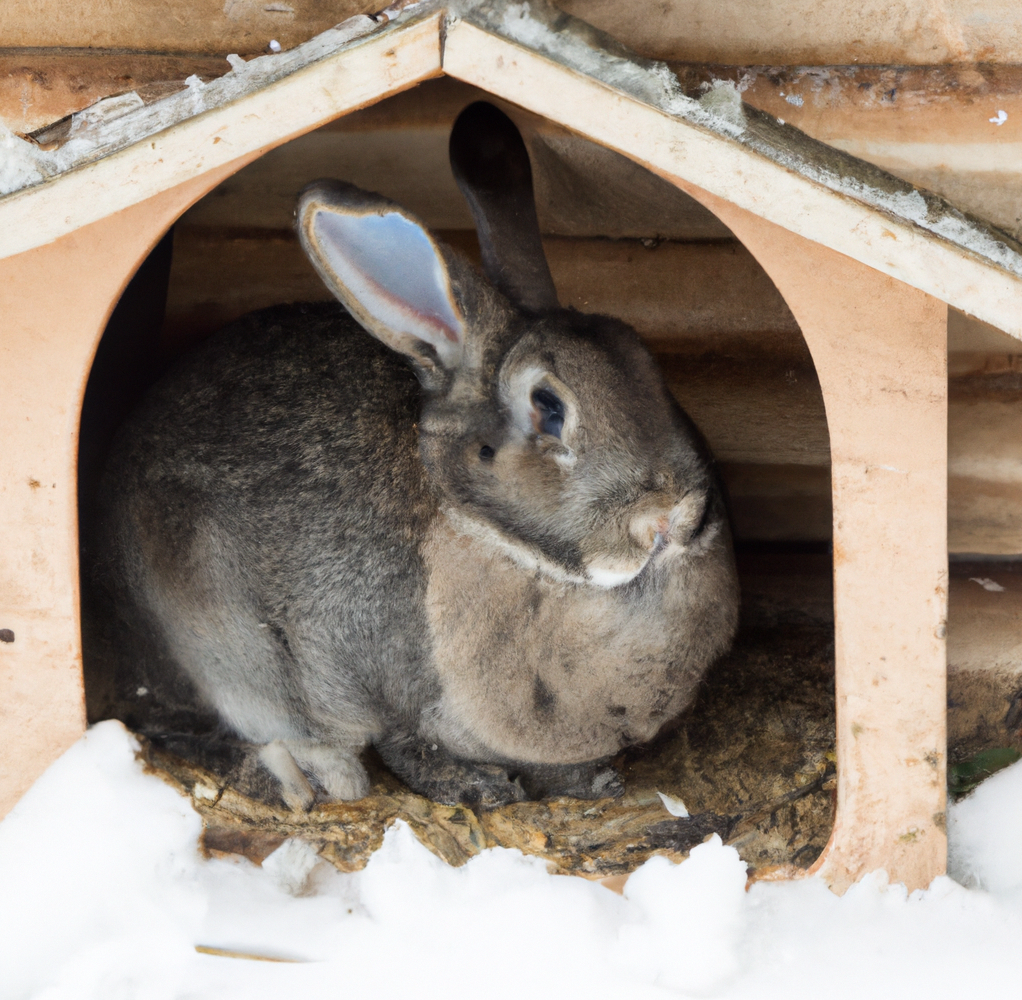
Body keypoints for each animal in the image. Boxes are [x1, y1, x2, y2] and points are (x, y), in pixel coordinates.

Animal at [79, 97, 735, 805]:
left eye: (647, 362)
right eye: (549, 407)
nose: (676, 513)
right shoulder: (389, 685)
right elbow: (410, 744)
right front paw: (481, 787)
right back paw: (309, 775)